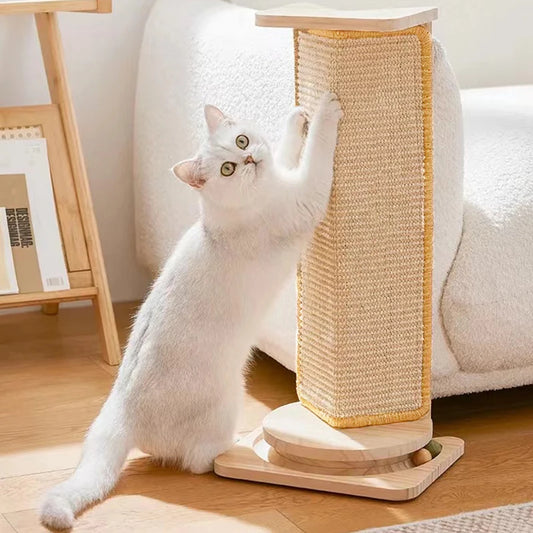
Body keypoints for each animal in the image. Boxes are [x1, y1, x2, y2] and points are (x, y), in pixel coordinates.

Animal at [40, 91, 340, 528]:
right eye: (228, 169)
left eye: (242, 141)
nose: (249, 160)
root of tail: (120, 412)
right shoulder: (307, 196)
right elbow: (318, 152)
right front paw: (326, 111)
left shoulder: (285, 175)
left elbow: (287, 151)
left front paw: (296, 117)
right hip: (229, 398)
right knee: (198, 461)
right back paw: (238, 448)